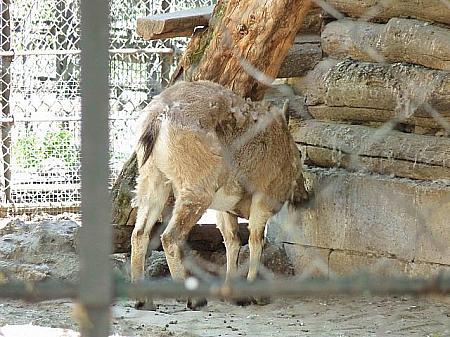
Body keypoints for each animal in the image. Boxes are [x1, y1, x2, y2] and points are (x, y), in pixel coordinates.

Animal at [128, 80, 308, 308]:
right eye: (301, 155)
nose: (304, 196)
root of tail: (158, 117)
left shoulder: (224, 209)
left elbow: (232, 241)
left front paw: (231, 293)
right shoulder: (263, 200)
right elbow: (256, 240)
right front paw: (255, 295)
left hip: (153, 179)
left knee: (140, 233)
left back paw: (144, 300)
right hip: (196, 190)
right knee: (170, 237)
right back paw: (193, 299)